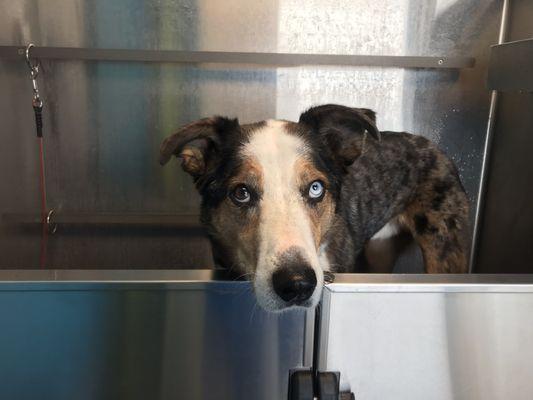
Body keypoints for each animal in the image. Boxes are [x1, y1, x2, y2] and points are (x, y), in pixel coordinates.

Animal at [160, 104, 468, 310]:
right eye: (241, 193)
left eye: (315, 188)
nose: (297, 284)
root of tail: (432, 144)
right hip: (381, 249)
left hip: (443, 248)